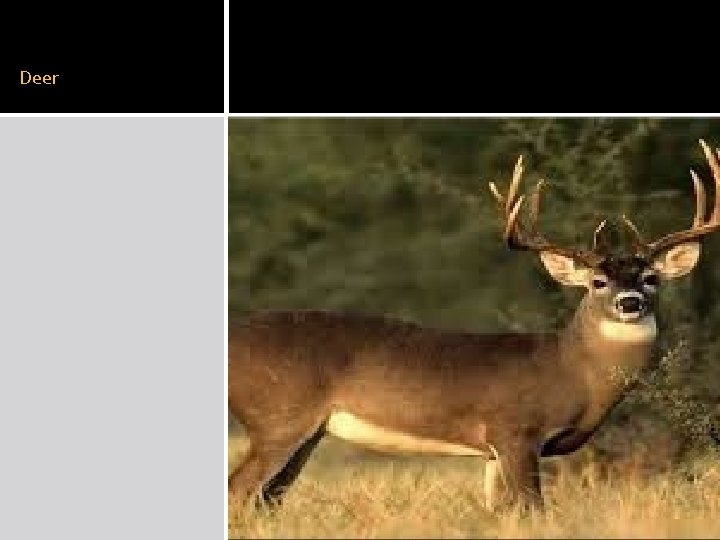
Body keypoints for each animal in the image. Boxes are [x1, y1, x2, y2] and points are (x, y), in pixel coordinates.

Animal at [228, 140, 720, 511]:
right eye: (597, 281)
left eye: (651, 277)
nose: (630, 302)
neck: (570, 372)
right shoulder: (515, 430)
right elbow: (533, 510)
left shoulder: (491, 452)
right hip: (278, 417)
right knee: (240, 492)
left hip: (306, 432)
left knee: (267, 499)